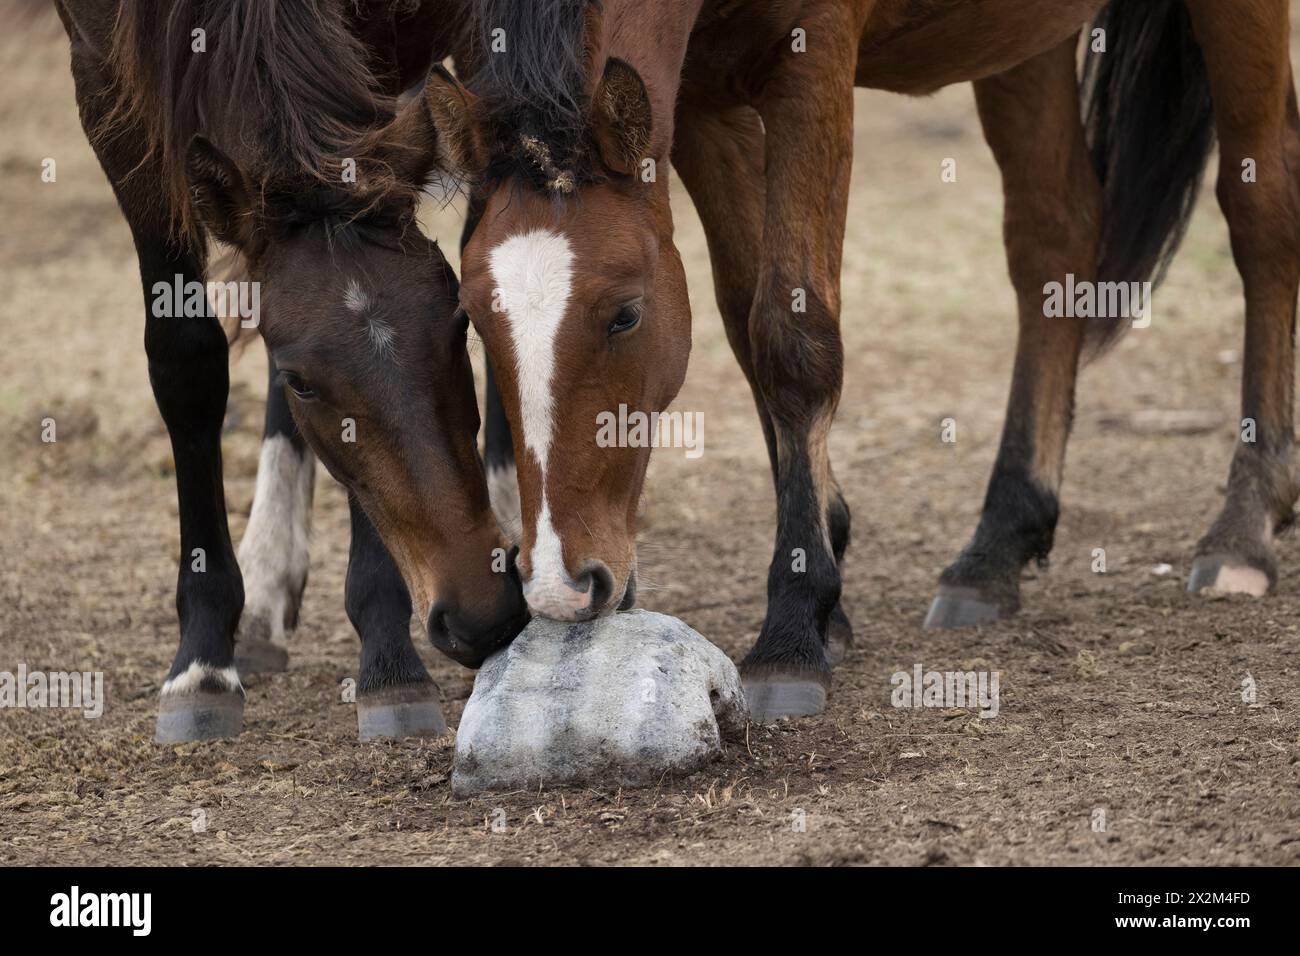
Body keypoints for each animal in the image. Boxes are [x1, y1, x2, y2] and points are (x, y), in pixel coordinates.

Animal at [56, 0, 526, 743]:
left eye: (459, 328)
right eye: (305, 380)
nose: (484, 614)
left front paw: (389, 662)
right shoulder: (108, 85)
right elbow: (185, 360)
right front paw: (203, 657)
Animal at [430, 0, 1300, 721]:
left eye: (625, 313)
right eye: (473, 316)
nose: (561, 586)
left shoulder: (812, 61)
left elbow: (791, 342)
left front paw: (793, 627)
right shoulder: (706, 98)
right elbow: (749, 323)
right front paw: (827, 587)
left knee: (1262, 209)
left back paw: (1244, 524)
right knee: (1054, 233)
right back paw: (996, 546)